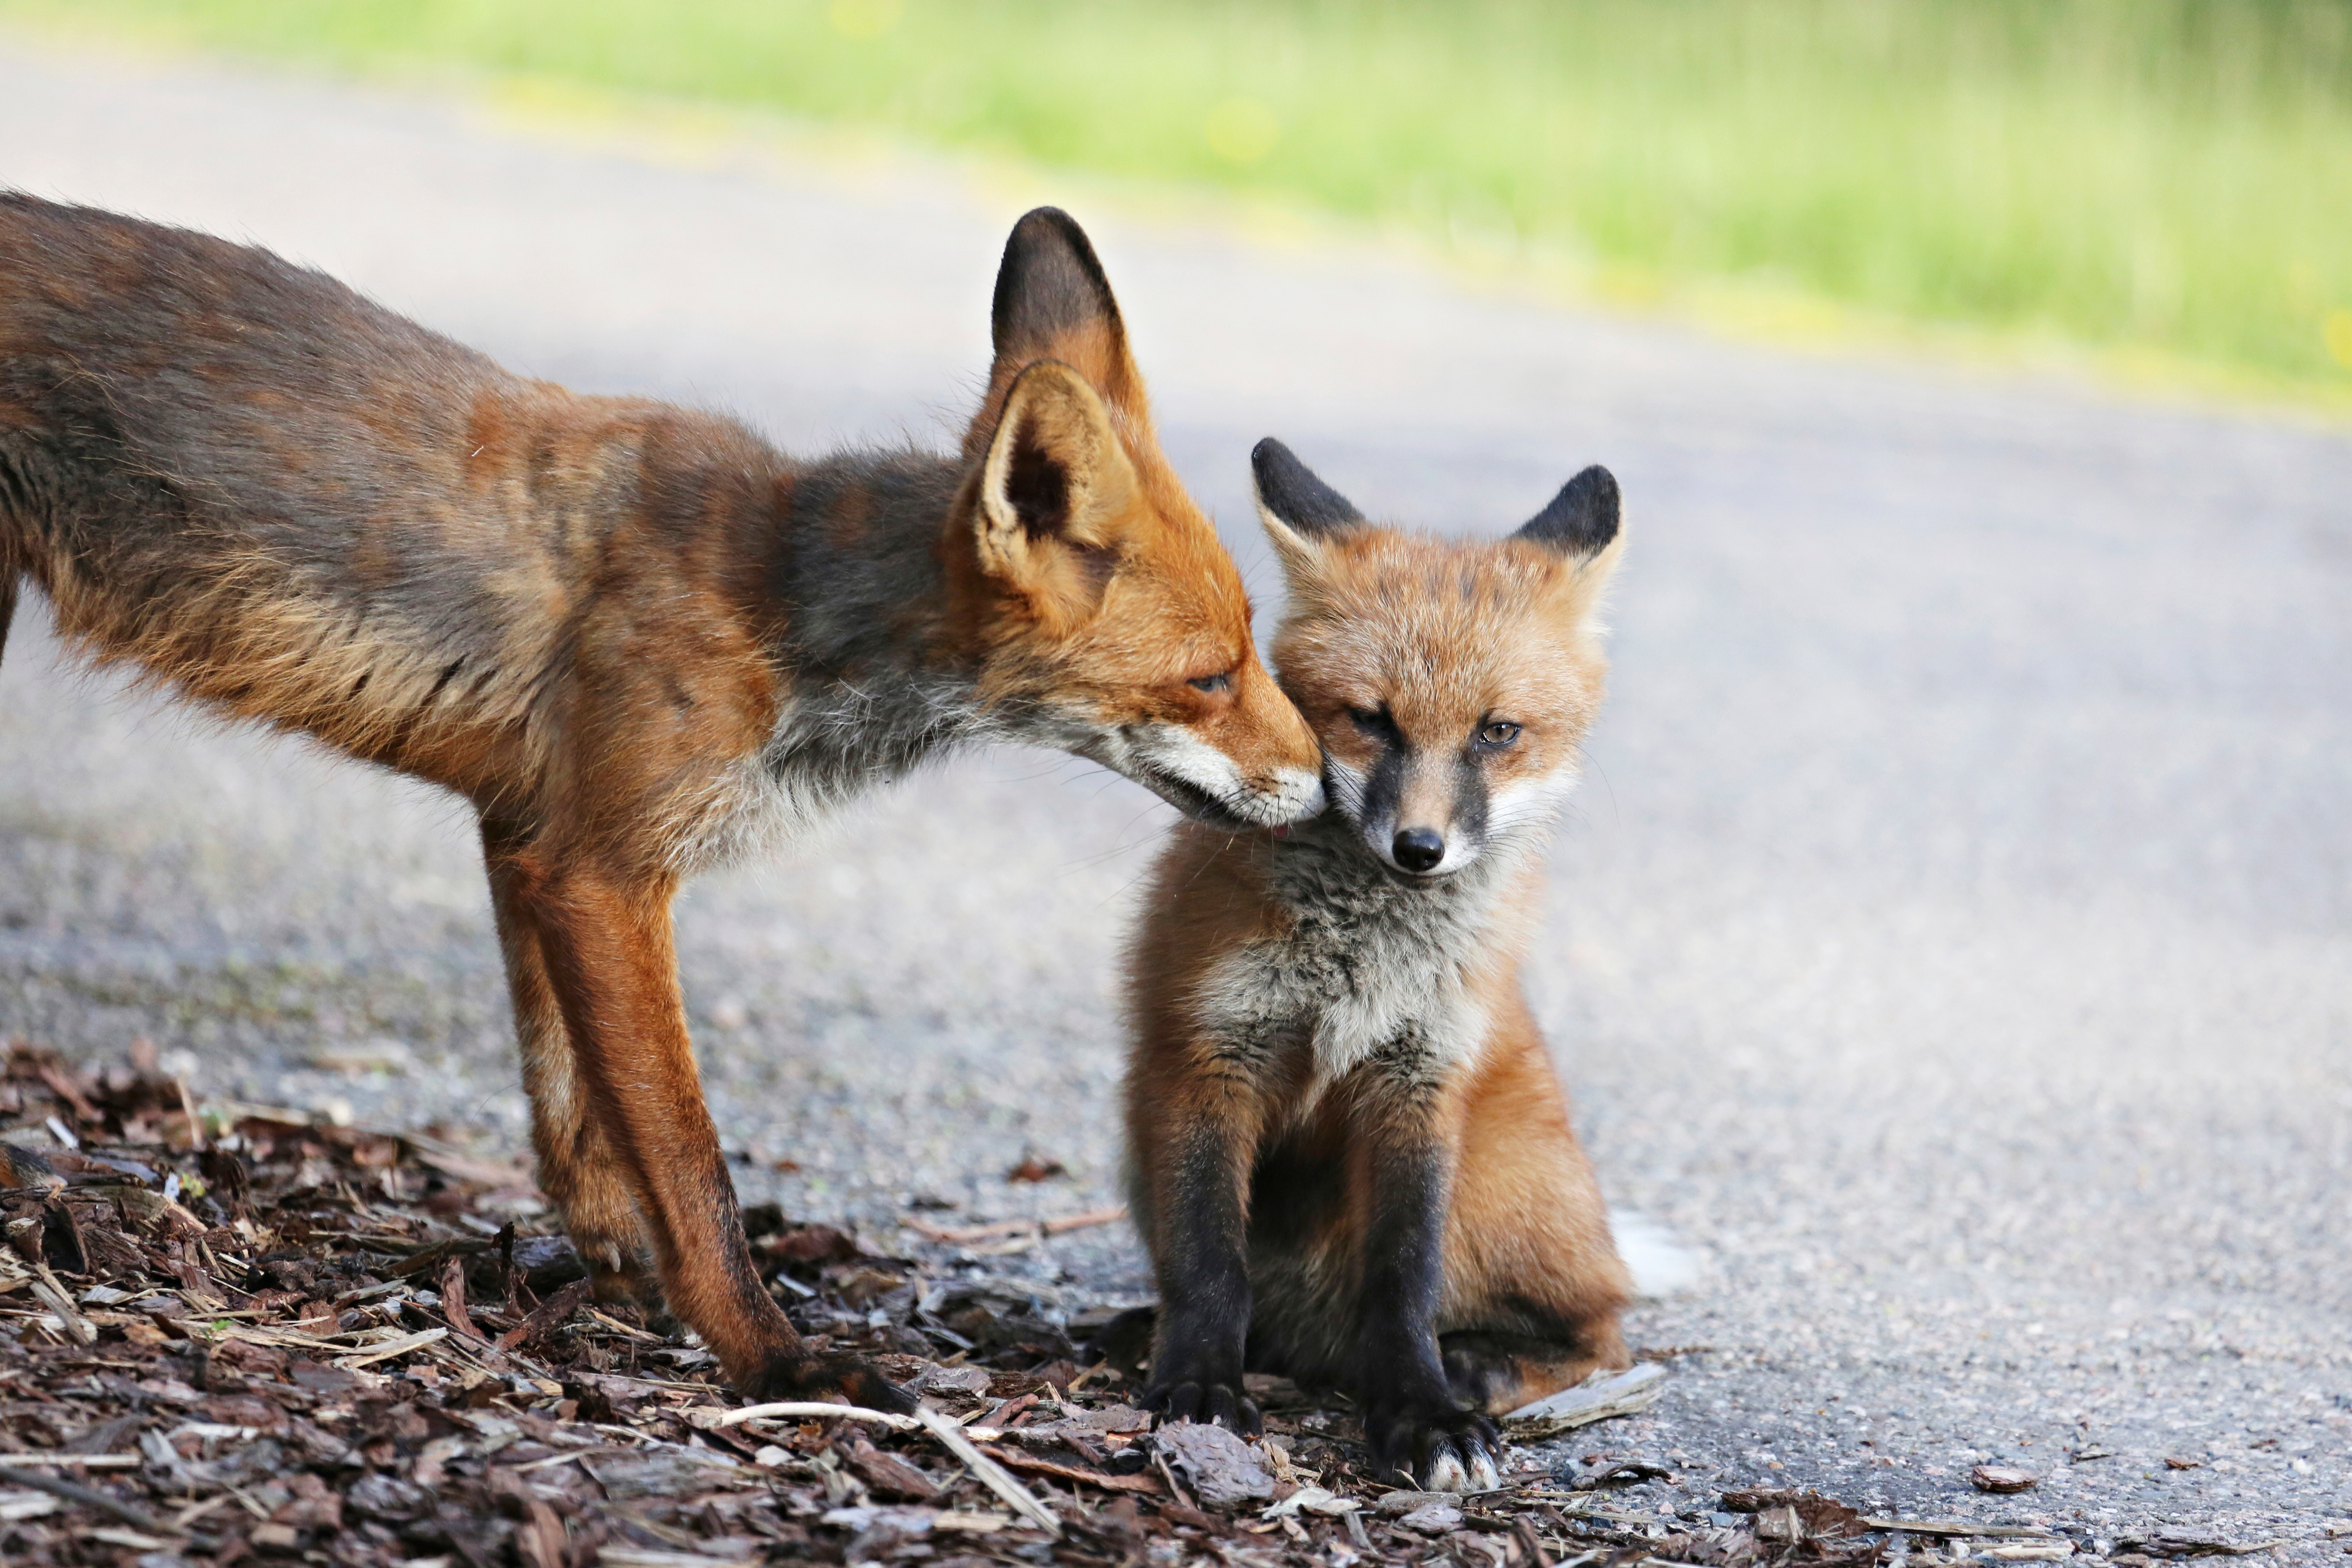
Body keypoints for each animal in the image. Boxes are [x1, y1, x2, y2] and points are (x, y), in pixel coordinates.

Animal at [0, 196, 1327, 1410]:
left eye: (1253, 647)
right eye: (1211, 677)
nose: (1332, 792)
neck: (781, 608)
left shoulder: (532, 836)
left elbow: (572, 1102)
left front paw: (607, 1264)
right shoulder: (601, 874)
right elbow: (695, 1165)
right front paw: (769, 1355)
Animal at [1129, 439, 1628, 1486]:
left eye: (1497, 731)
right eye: (1372, 719)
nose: (1420, 847)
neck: (1359, 960)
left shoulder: (1419, 1075)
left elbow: (1403, 1281)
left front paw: (1422, 1411)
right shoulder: (1207, 1052)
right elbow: (1206, 1261)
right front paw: (1198, 1384)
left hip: (1495, 1186)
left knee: (1608, 1331)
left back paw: (1483, 1367)